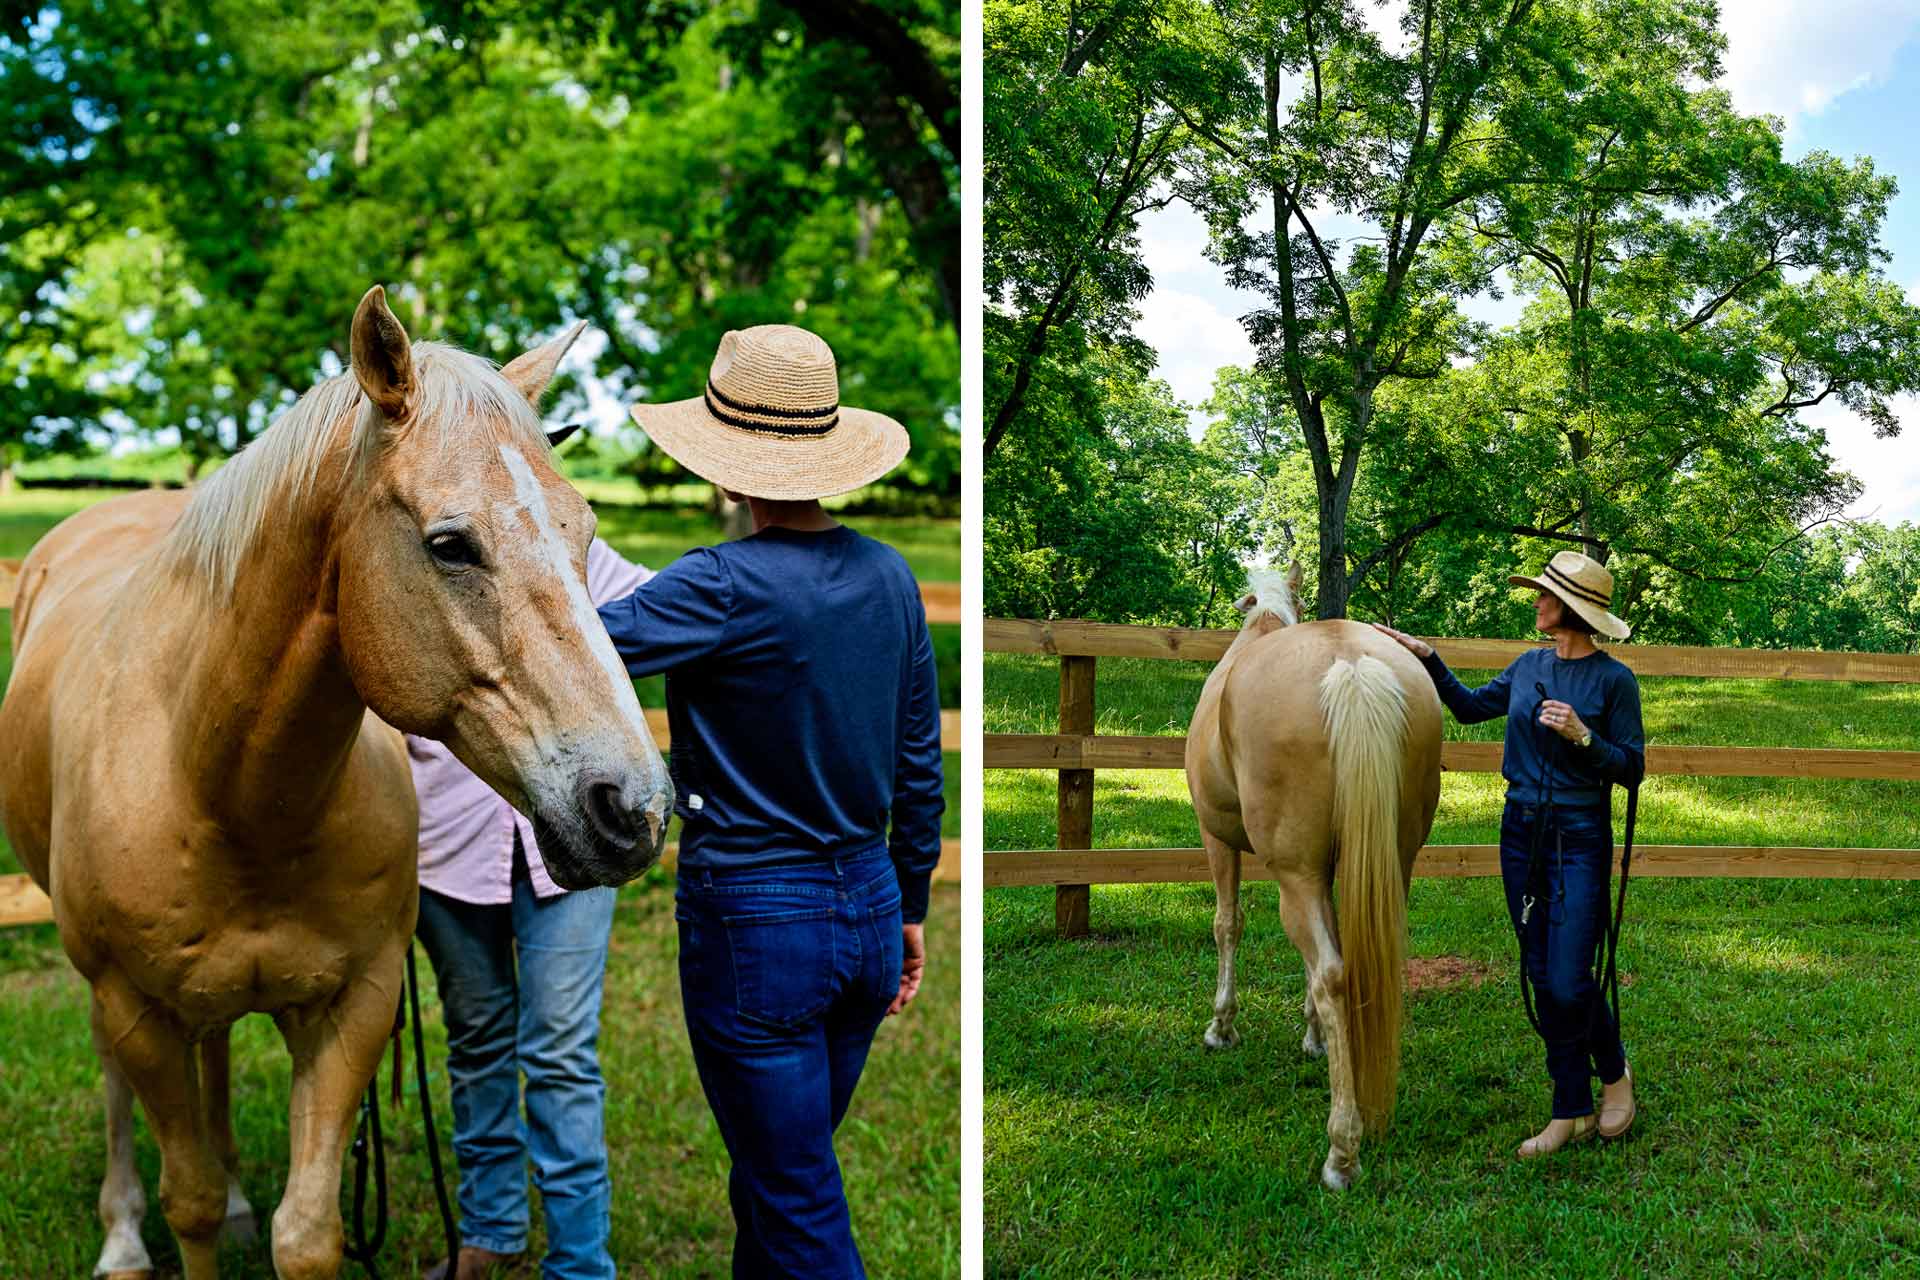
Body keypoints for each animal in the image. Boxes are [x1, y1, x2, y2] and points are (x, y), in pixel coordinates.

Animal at [0, 285, 674, 1279]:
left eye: (583, 533)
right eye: (450, 544)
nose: (633, 808)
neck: (226, 790)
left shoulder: (354, 1007)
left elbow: (307, 1232)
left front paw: (257, 1212)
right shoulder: (137, 1009)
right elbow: (188, 1202)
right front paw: (171, 1218)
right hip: (110, 996)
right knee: (122, 1088)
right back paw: (121, 1235)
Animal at [1184, 564, 1442, 1190]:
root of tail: (1348, 663)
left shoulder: (1217, 838)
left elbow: (1227, 924)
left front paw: (1221, 1026)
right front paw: (1315, 1037)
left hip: (1293, 876)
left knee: (1331, 973)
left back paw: (1341, 1151)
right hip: (1392, 862)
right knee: (1358, 964)